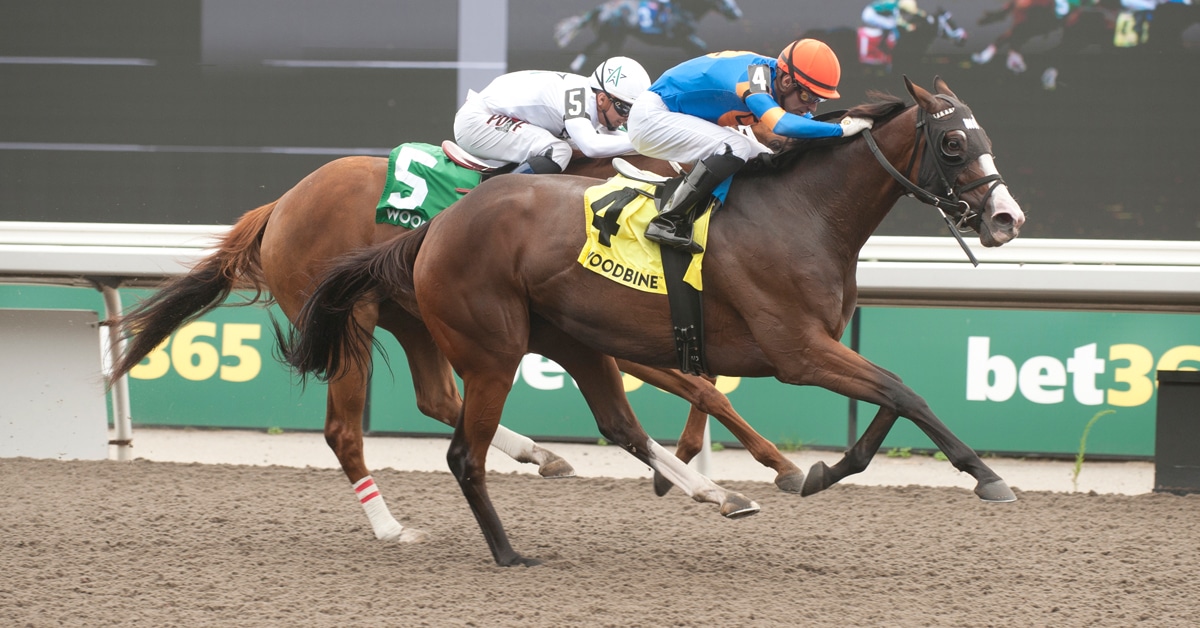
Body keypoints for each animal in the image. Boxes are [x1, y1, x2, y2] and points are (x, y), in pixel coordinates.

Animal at [107, 147, 807, 545]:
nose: (685, 236)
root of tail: (279, 206)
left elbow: (704, 384)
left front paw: (704, 473)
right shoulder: (617, 335)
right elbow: (703, 387)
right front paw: (775, 467)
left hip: (412, 319)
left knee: (439, 399)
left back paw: (539, 455)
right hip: (351, 323)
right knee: (344, 431)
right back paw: (390, 528)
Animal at [285, 76, 1027, 566]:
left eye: (985, 137)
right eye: (953, 142)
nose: (1005, 219)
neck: (801, 212)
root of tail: (434, 228)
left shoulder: (809, 348)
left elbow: (887, 400)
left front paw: (819, 471)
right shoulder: (797, 352)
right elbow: (902, 391)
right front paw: (986, 476)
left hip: (568, 341)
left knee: (610, 424)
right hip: (490, 350)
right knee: (457, 451)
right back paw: (504, 551)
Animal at [555, 0, 743, 73]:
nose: (737, 13)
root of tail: (604, 7)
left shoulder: (685, 39)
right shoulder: (681, 38)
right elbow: (700, 48)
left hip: (606, 35)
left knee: (590, 48)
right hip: (614, 36)